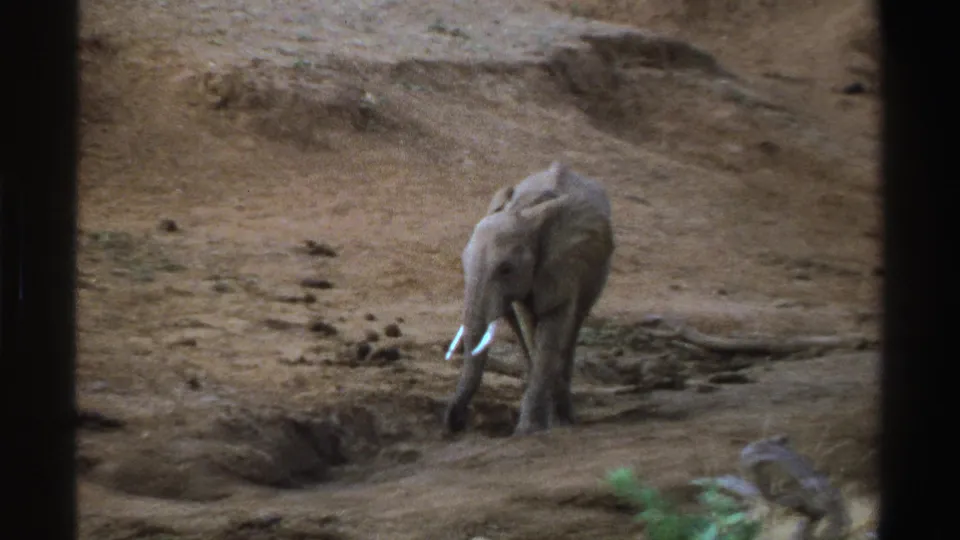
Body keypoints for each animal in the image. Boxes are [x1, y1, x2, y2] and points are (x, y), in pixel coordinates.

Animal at [444, 161, 615, 436]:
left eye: (506, 269)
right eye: (463, 261)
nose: (456, 423)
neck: (525, 212)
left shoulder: (564, 264)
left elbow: (552, 323)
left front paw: (529, 430)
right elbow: (529, 322)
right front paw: (541, 423)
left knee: (575, 323)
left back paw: (566, 417)